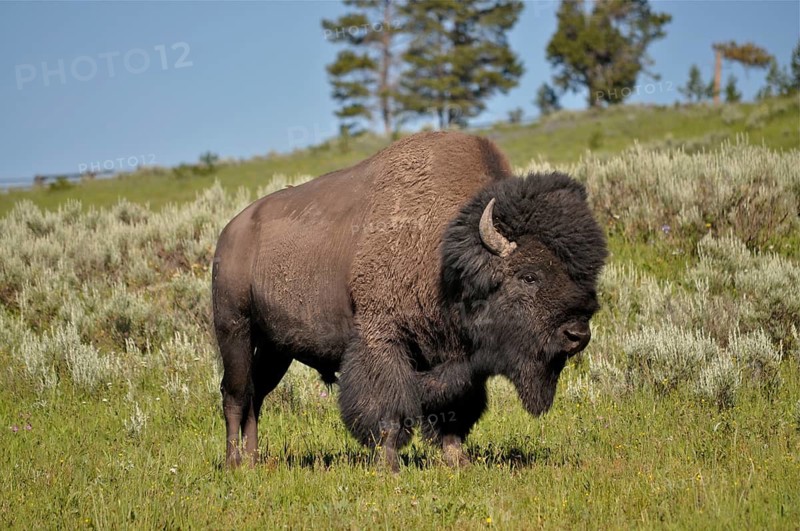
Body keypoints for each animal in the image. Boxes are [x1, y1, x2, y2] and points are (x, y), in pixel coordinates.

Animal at [212, 131, 607, 470]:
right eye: (529, 275)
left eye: (587, 274)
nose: (577, 335)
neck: (443, 255)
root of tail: (230, 232)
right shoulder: (383, 340)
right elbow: (389, 409)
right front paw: (389, 466)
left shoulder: (455, 359)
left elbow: (455, 410)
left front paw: (458, 462)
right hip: (234, 329)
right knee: (235, 393)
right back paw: (234, 464)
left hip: (276, 348)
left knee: (257, 396)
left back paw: (253, 460)